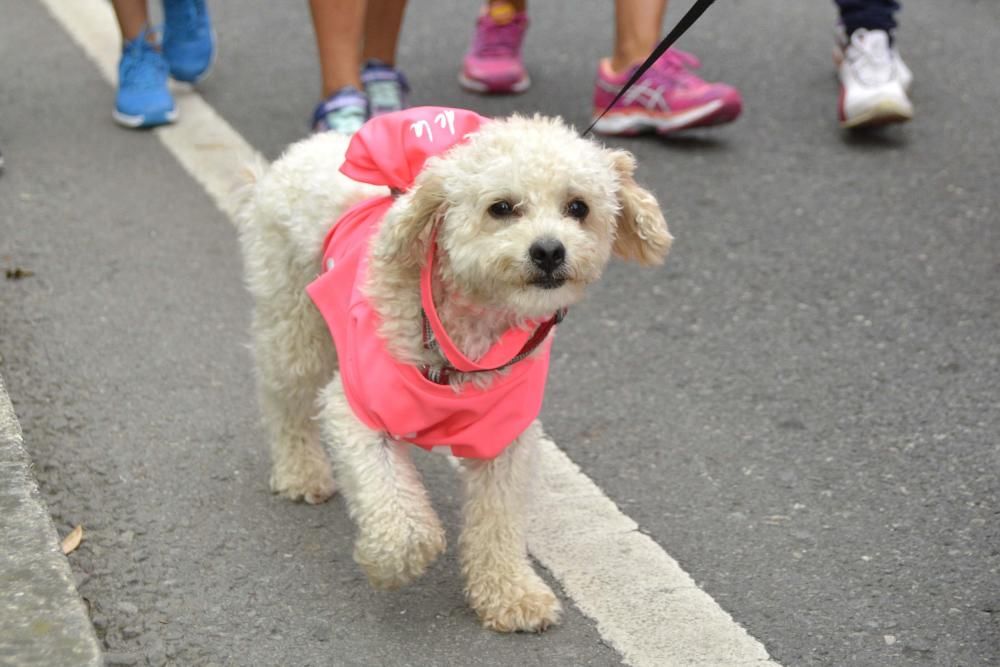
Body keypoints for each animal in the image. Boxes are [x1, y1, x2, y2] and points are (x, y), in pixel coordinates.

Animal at [234, 107, 672, 636]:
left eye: (578, 207)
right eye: (501, 208)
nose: (549, 251)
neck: (464, 334)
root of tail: (305, 150)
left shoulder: (505, 435)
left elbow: (499, 520)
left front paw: (510, 592)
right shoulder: (356, 411)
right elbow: (402, 523)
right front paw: (387, 563)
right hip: (293, 324)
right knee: (285, 402)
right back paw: (300, 471)